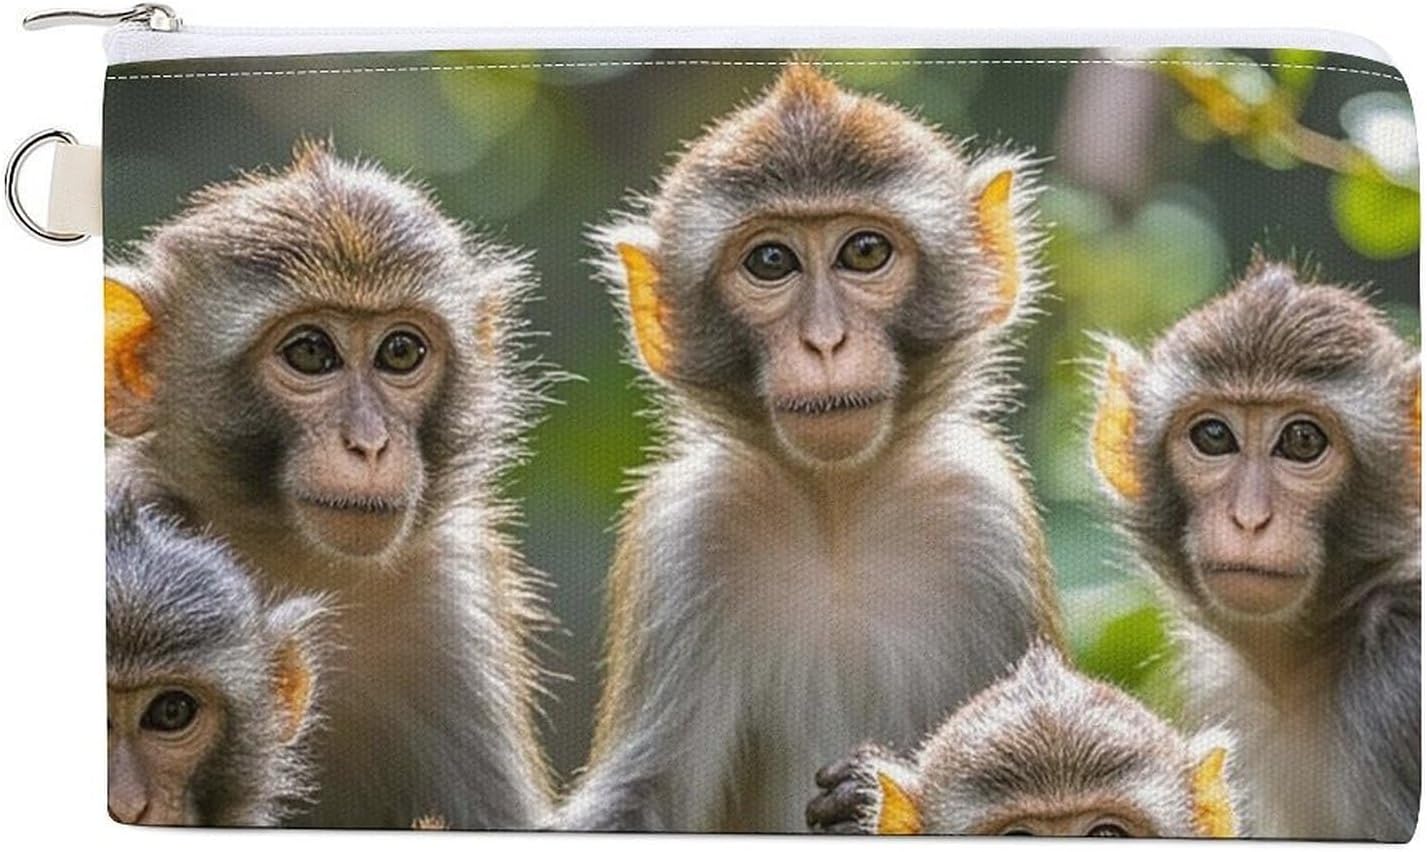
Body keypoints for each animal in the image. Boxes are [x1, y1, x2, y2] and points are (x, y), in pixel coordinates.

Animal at [559, 64, 1063, 832]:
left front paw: (863, 792)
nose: (824, 341)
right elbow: (638, 801)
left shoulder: (984, 516)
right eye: (771, 261)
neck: (837, 513)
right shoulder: (687, 532)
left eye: (864, 252)